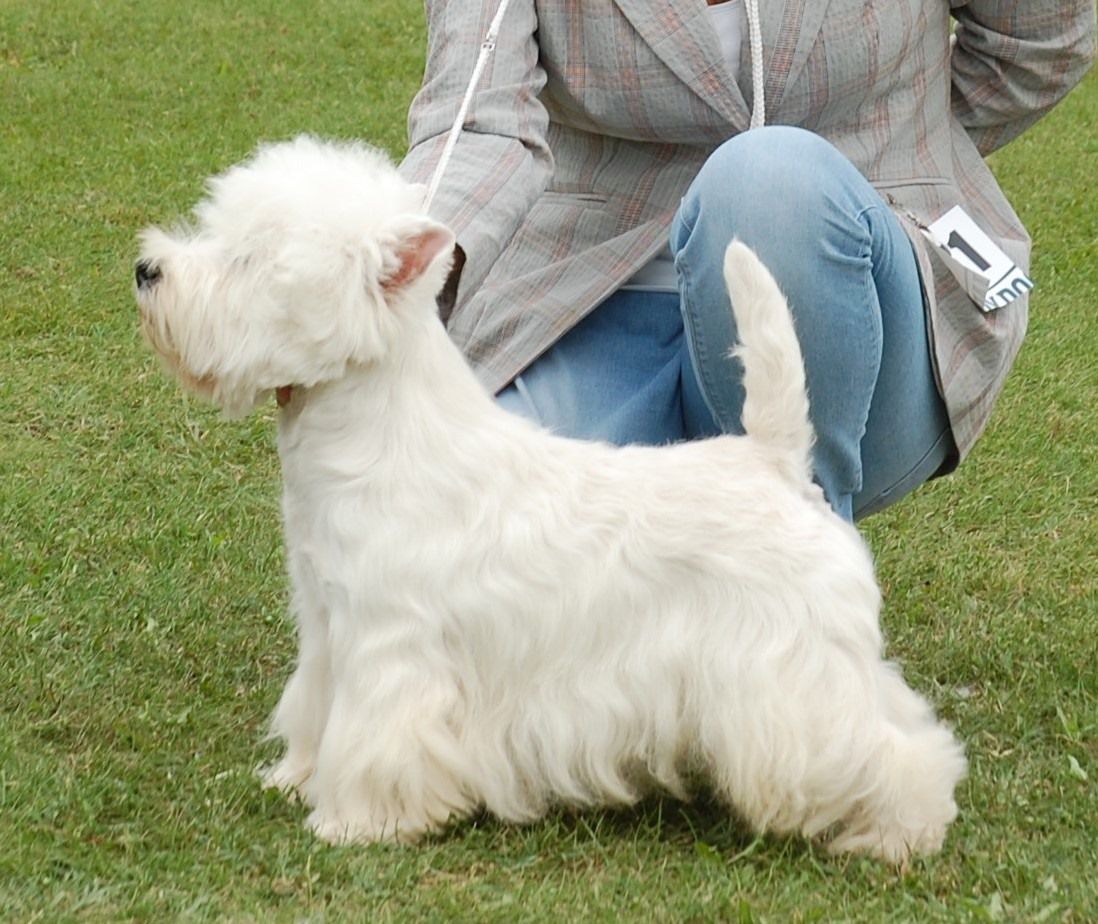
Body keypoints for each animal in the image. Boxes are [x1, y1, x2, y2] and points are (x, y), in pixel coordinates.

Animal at [132, 138, 966, 864]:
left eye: (252, 259)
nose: (146, 268)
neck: (373, 430)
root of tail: (772, 460)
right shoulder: (327, 624)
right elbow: (315, 709)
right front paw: (296, 776)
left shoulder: (390, 642)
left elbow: (380, 739)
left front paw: (356, 821)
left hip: (790, 671)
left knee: (885, 746)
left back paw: (900, 833)